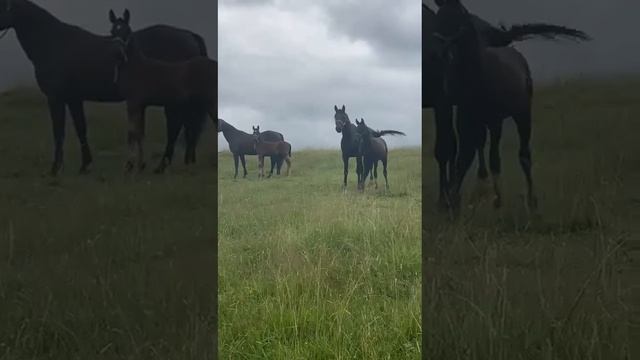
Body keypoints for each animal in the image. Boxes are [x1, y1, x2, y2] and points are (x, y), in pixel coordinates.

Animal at [0, 0, 208, 174]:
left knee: (175, 127)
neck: (54, 43)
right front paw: (85, 165)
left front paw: (55, 168)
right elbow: (81, 129)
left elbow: (59, 132)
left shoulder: (56, 98)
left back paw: (162, 166)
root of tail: (189, 36)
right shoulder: (73, 98)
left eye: (3, 5)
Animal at [422, 0, 592, 211]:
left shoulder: (445, 101)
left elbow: (447, 148)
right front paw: (451, 198)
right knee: (475, 143)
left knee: (479, 145)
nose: (440, 54)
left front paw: (446, 201)